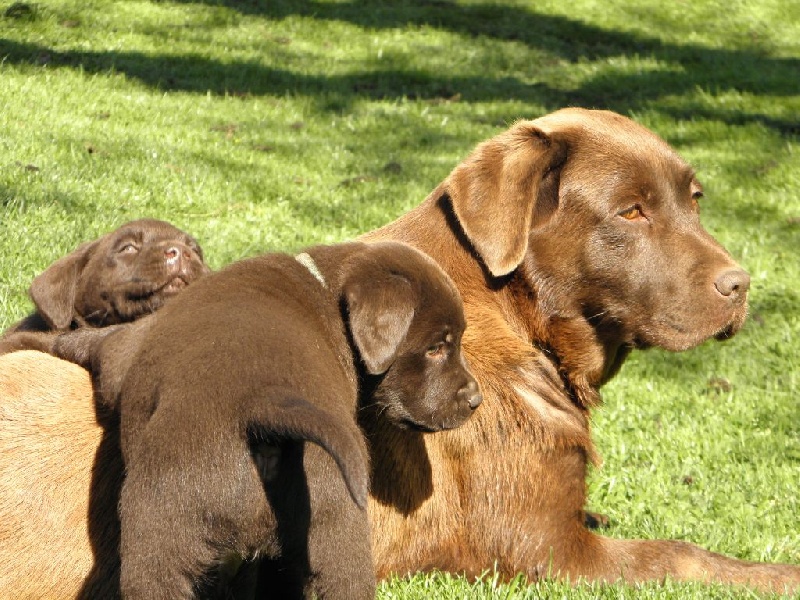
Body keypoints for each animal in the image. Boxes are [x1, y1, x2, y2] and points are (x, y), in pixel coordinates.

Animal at [52, 240, 481, 599]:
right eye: (437, 348)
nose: (475, 399)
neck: (326, 288)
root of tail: (264, 403)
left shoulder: (125, 347)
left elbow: (99, 340)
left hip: (158, 534)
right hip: (328, 523)